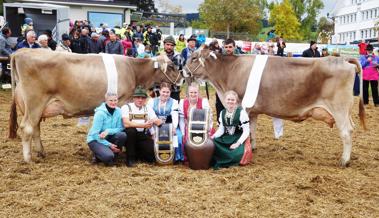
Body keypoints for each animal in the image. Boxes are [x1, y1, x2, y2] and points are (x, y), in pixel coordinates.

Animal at [8, 48, 181, 163]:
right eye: (172, 66)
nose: (182, 79)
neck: (133, 70)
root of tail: (21, 52)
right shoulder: (122, 101)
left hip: (36, 107)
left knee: (35, 128)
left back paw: (41, 152)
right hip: (35, 102)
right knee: (27, 128)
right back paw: (28, 159)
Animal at [184, 49, 366, 167]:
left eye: (193, 58)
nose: (183, 71)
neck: (228, 72)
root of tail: (343, 59)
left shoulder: (243, 106)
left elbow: (245, 131)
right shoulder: (253, 111)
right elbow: (252, 129)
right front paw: (253, 147)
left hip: (339, 108)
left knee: (346, 132)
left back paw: (344, 161)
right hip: (346, 110)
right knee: (351, 128)